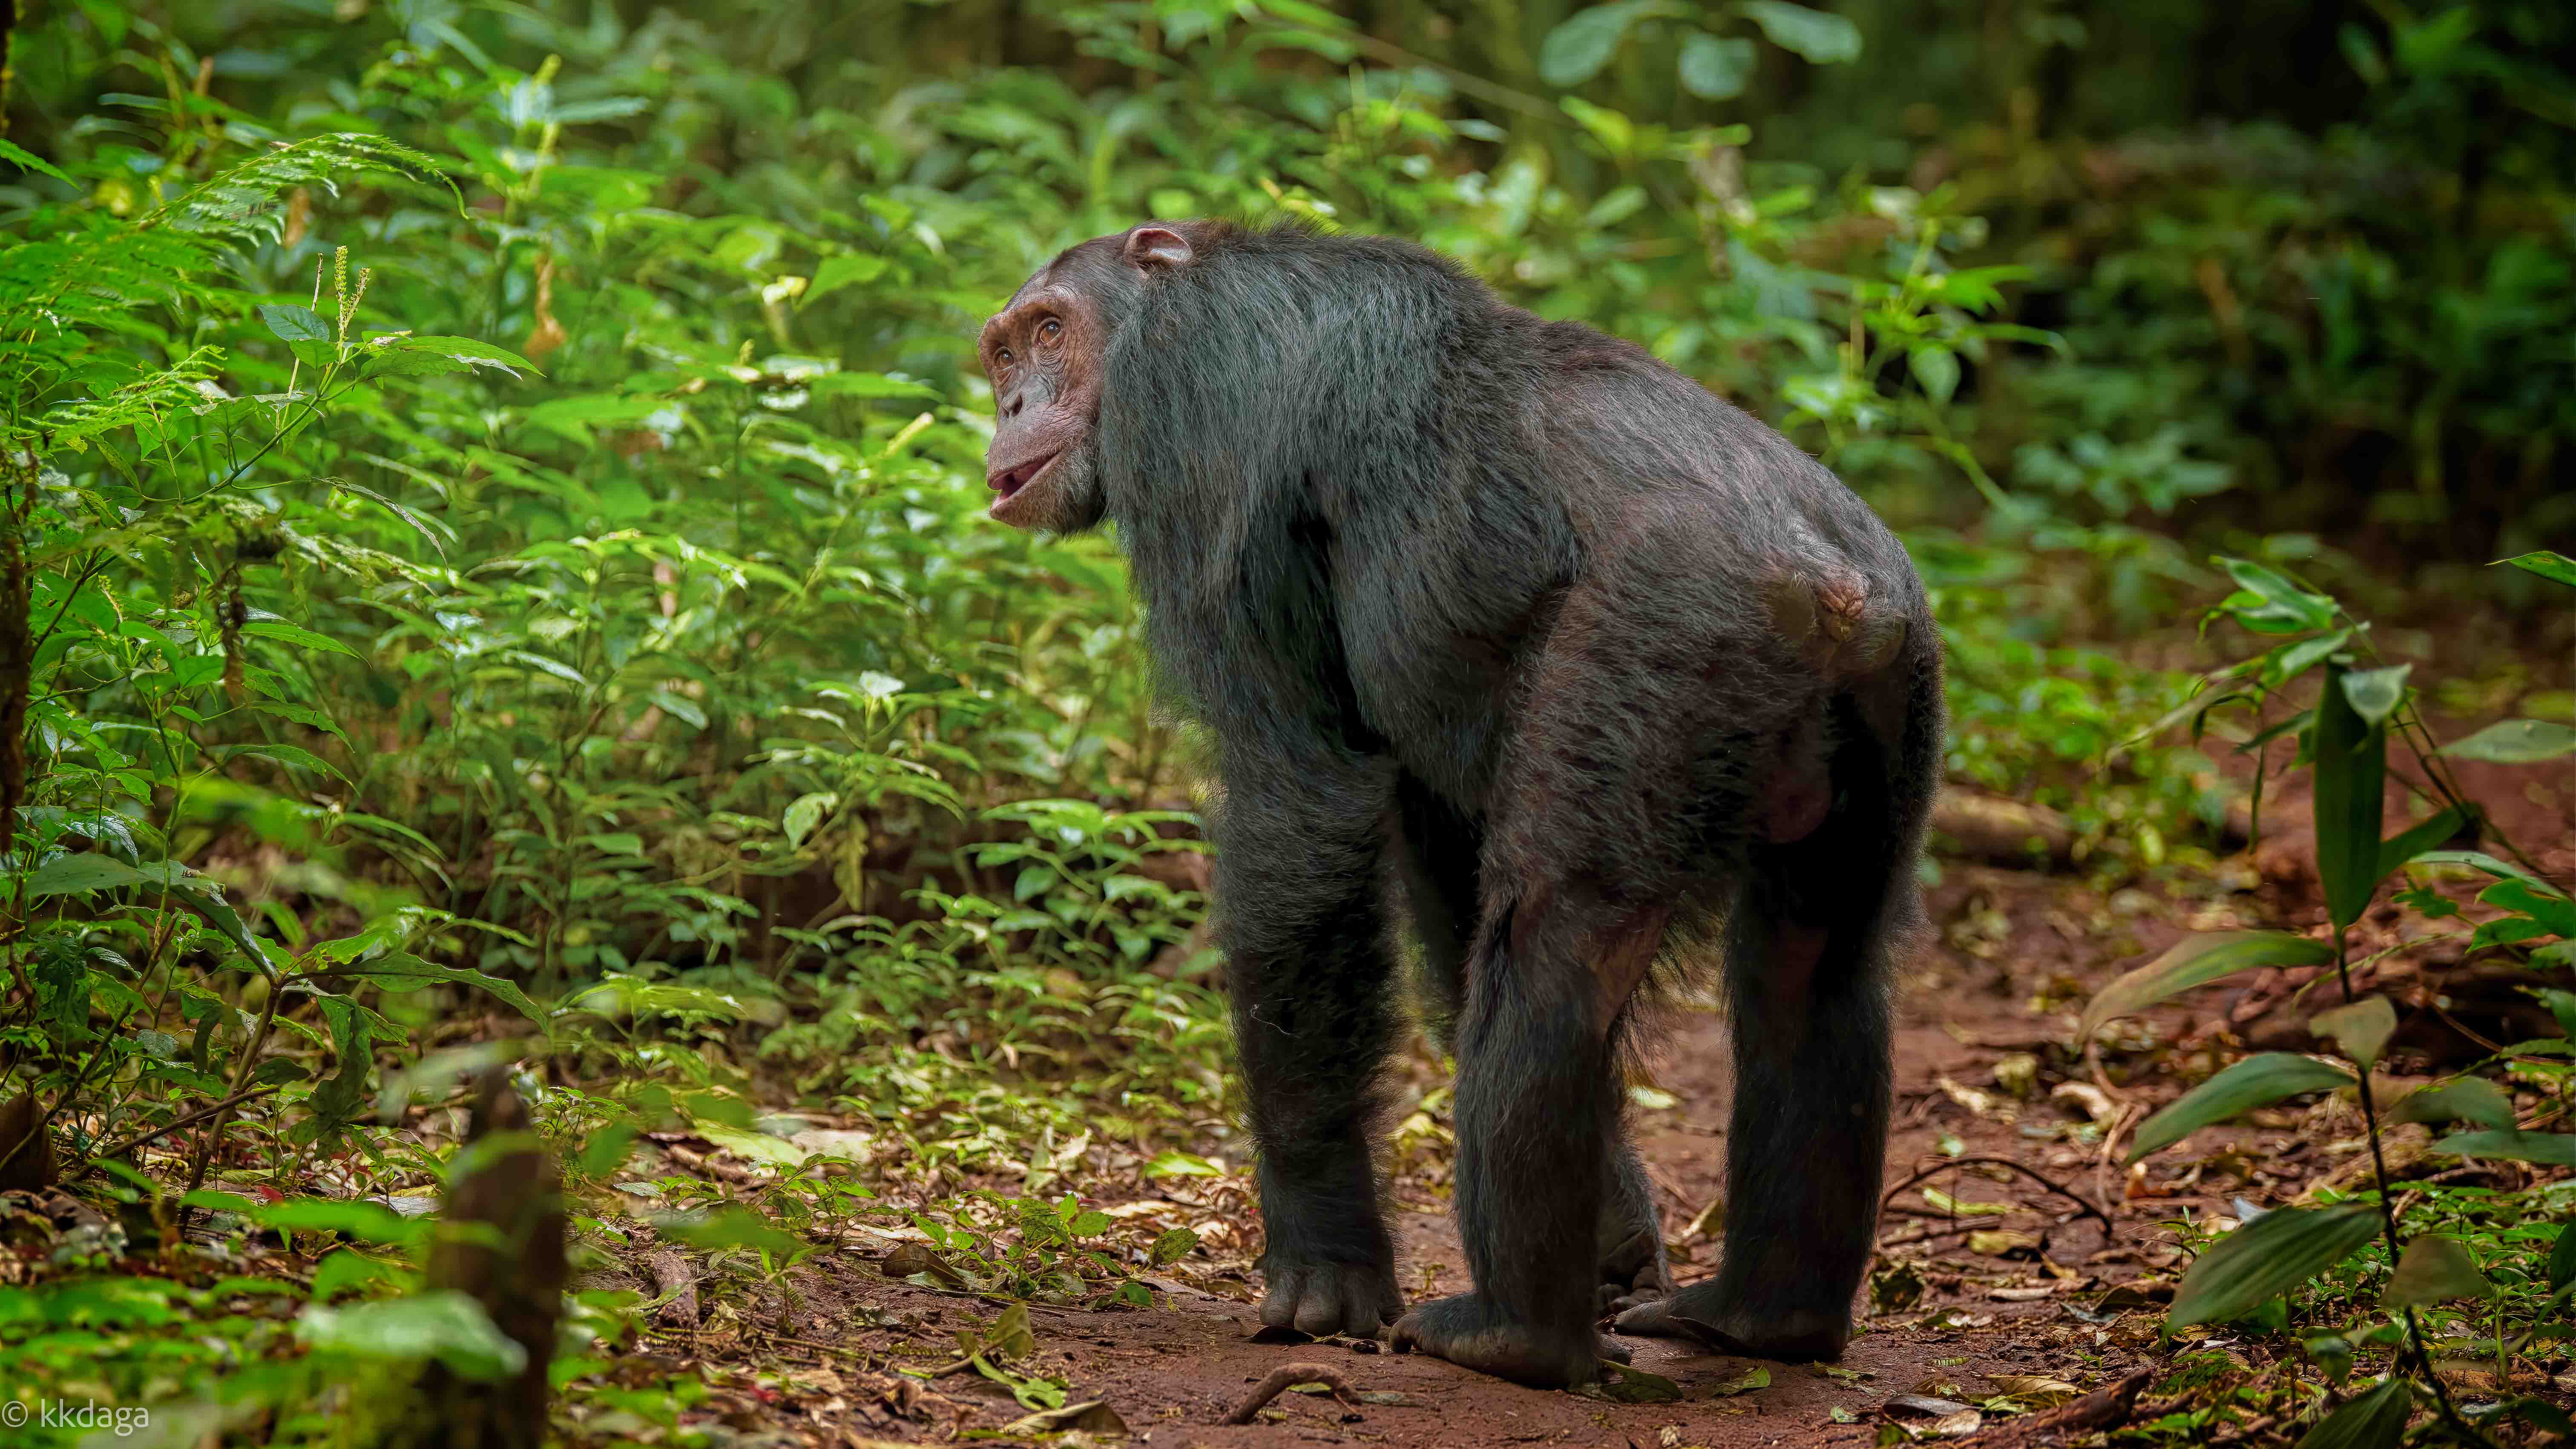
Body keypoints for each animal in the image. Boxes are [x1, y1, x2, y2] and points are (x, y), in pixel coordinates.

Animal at [974, 220, 1937, 1382]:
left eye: (1048, 332)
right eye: (1002, 354)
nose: (1012, 404)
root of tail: (1832, 587)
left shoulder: (1187, 419)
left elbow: (1297, 795)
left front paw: (1323, 1260)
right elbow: (1445, 877)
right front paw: (1619, 1243)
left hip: (1670, 651)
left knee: (1558, 945)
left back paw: (1516, 1330)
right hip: (1892, 698)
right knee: (1814, 970)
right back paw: (1760, 1315)